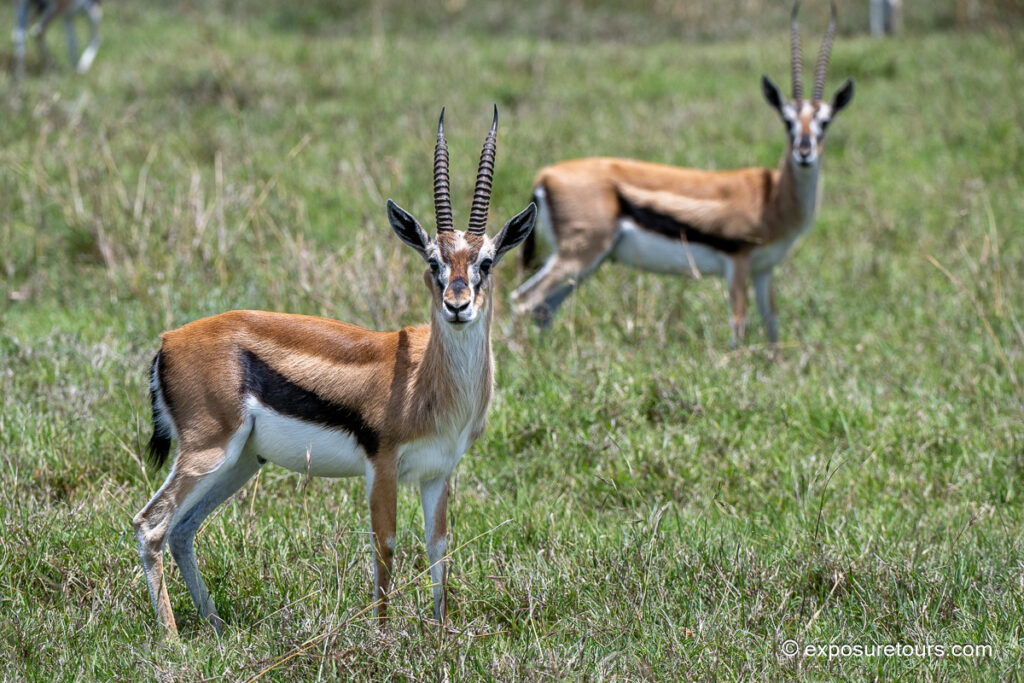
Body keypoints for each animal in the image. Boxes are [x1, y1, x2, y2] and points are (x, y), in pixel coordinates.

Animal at [132, 107, 537, 635]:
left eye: (486, 262)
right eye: (433, 261)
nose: (457, 305)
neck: (425, 380)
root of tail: (168, 341)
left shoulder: (438, 472)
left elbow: (439, 548)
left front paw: (441, 633)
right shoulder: (382, 466)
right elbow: (386, 546)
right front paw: (382, 635)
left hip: (240, 462)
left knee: (183, 529)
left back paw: (218, 629)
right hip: (207, 452)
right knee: (151, 525)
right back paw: (173, 640)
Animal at [512, 2, 853, 347]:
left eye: (825, 121)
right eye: (787, 121)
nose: (804, 153)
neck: (773, 197)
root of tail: (545, 176)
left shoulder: (763, 269)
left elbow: (772, 326)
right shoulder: (738, 263)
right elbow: (739, 325)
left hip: (585, 264)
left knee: (544, 308)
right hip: (579, 256)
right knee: (523, 300)